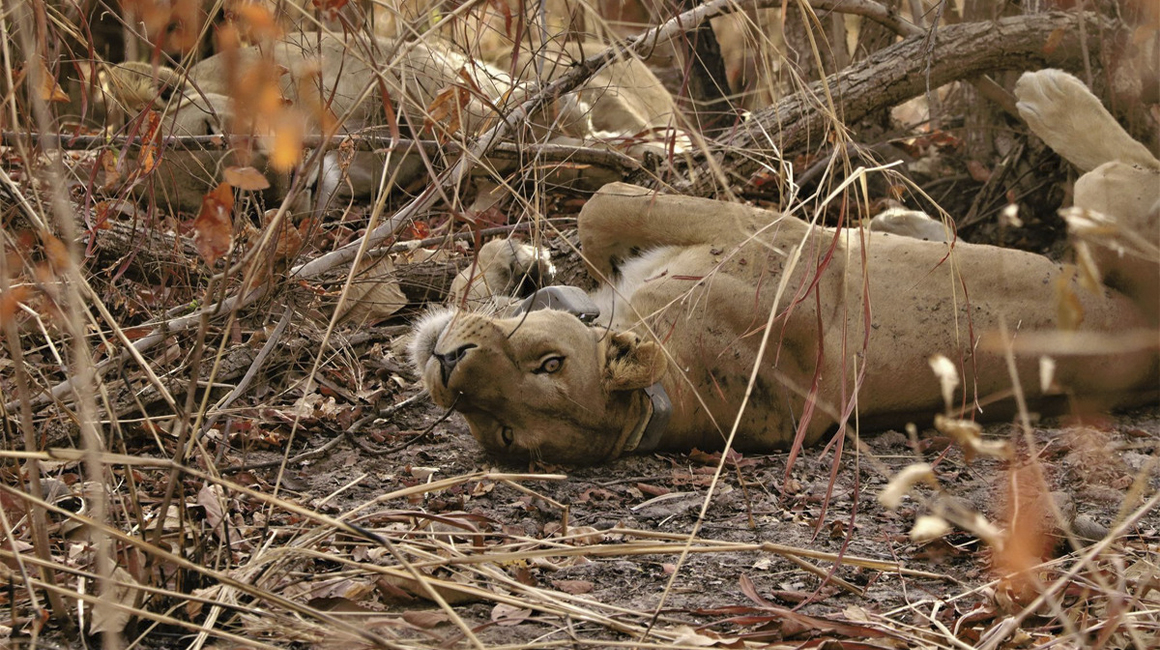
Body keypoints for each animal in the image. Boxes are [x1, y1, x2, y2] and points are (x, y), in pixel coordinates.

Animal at [410, 69, 1159, 464]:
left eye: (550, 365)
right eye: (501, 430)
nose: (448, 365)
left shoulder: (766, 229)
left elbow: (598, 208)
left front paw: (531, 261)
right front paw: (515, 264)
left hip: (1104, 198)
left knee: (1135, 160)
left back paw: (1051, 94)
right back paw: (904, 220)